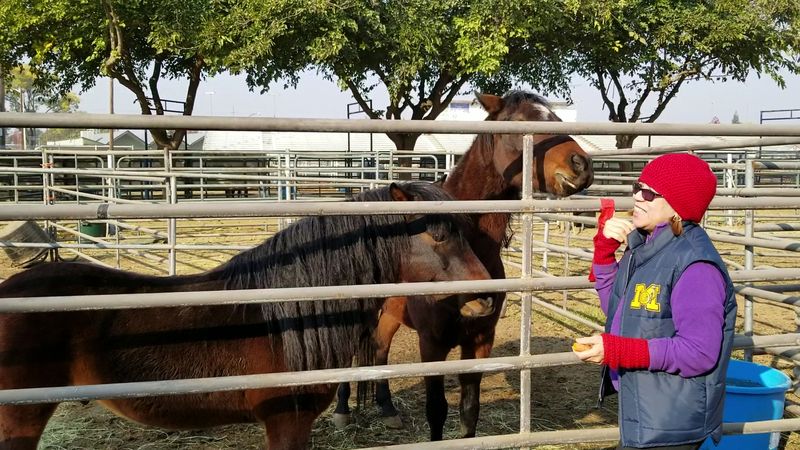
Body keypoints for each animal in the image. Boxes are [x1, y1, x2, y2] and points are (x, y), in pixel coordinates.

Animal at [333, 90, 594, 440]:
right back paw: (342, 409)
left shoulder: (480, 341)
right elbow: (436, 410)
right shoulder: (432, 345)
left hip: (390, 311)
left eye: (556, 118)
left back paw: (387, 408)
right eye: (517, 123)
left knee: (380, 347)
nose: (582, 165)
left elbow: (470, 409)